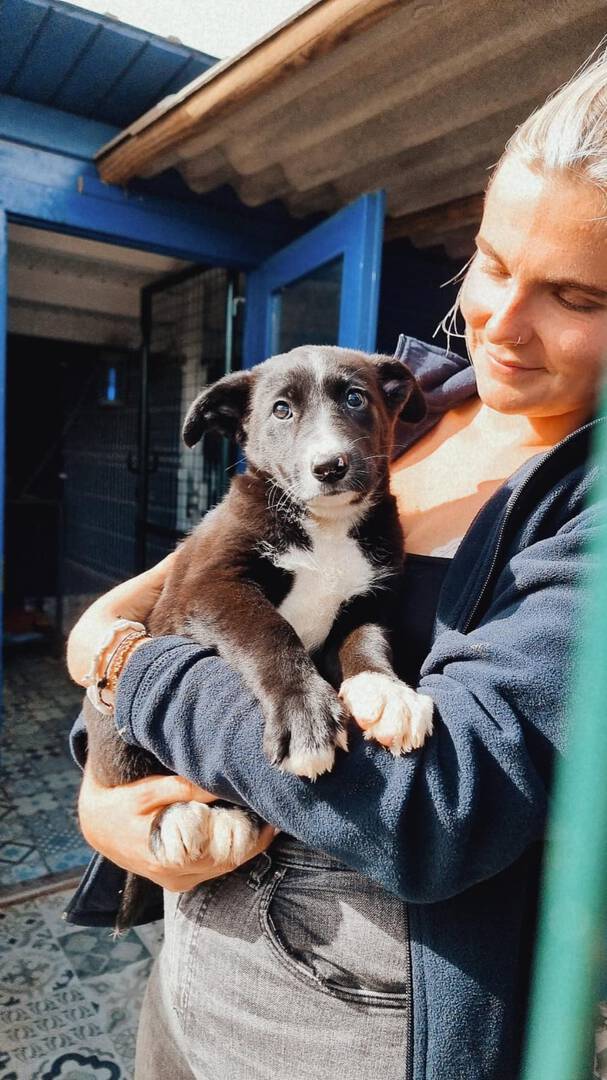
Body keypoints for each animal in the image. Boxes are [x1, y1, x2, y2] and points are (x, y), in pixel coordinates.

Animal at [83, 344, 435, 929]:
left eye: (355, 398)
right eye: (281, 410)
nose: (330, 466)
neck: (325, 527)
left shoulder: (374, 595)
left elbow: (366, 640)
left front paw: (386, 692)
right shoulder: (213, 585)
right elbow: (270, 631)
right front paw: (304, 713)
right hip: (111, 726)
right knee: (142, 779)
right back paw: (182, 816)